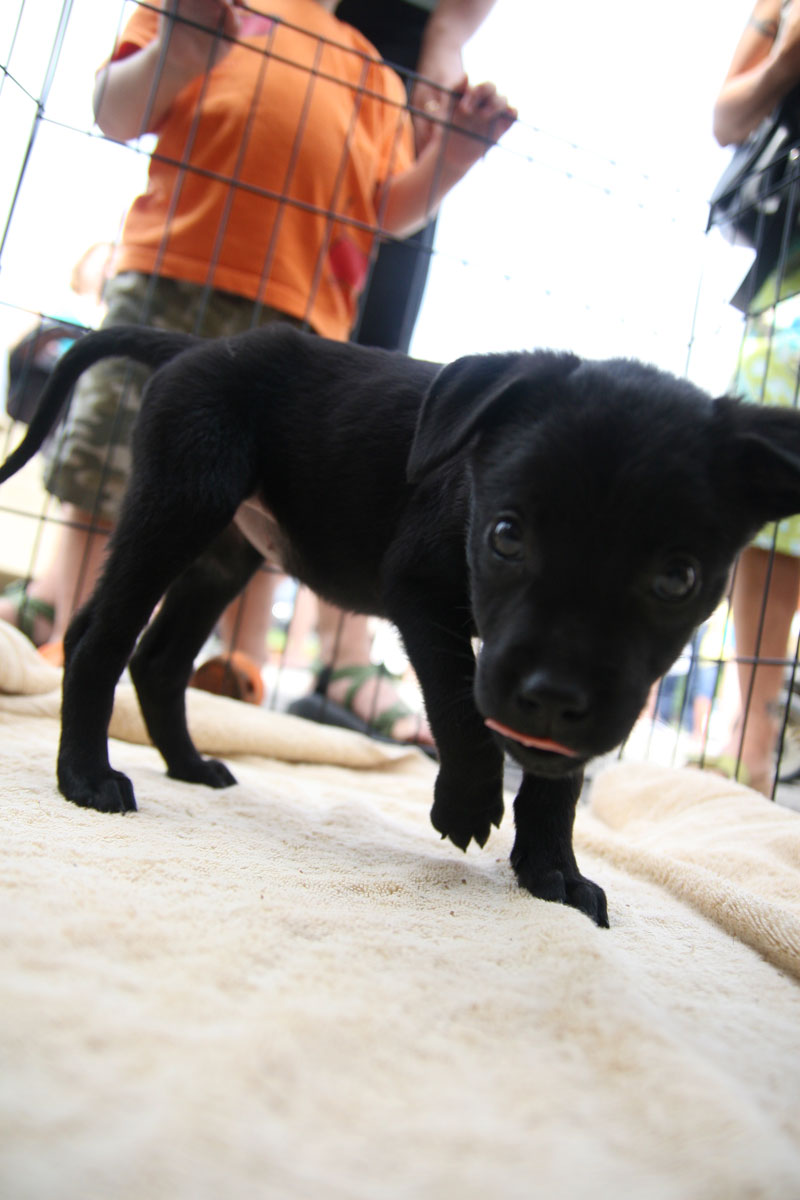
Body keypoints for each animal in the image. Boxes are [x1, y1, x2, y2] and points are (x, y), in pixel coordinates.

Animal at [3, 321, 796, 926]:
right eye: (506, 535)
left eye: (678, 579)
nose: (549, 699)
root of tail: (194, 347)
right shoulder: (419, 590)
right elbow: (457, 702)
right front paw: (468, 802)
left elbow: (558, 775)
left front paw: (552, 871)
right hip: (182, 501)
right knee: (98, 639)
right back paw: (86, 775)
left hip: (224, 555)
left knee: (159, 659)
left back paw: (189, 766)